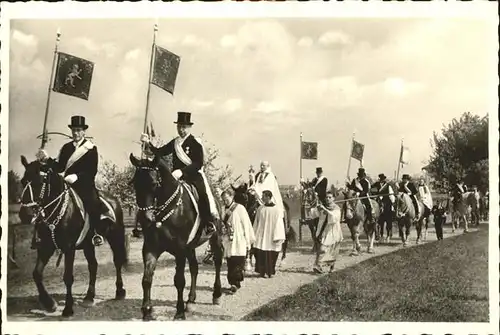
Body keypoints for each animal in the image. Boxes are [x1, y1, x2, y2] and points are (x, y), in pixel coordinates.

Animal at [19, 156, 129, 318]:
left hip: (115, 237)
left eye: (40, 181)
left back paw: (119, 291)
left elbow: (68, 277)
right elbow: (37, 274)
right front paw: (49, 303)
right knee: (93, 265)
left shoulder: (69, 248)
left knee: (117, 261)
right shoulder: (46, 247)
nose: (24, 214)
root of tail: (113, 199)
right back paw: (89, 297)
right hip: (88, 245)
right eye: (22, 181)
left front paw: (68, 308)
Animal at [130, 154, 224, 322]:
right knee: (194, 267)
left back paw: (216, 295)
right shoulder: (150, 248)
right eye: (135, 184)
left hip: (215, 237)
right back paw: (191, 300)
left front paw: (179, 312)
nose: (144, 219)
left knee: (218, 261)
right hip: (191, 247)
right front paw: (147, 310)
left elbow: (179, 281)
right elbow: (146, 279)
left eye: (154, 184)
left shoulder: (180, 250)